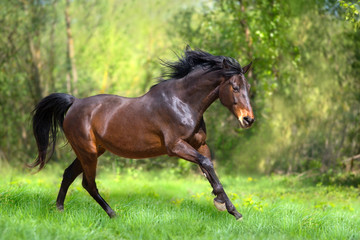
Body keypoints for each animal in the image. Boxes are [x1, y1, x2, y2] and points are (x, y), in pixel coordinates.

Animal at [29, 47, 255, 220]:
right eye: (234, 87)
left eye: (248, 87)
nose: (248, 119)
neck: (183, 103)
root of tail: (74, 102)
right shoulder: (175, 146)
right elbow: (207, 165)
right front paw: (229, 208)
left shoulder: (200, 145)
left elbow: (209, 170)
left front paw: (226, 206)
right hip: (88, 152)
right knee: (88, 183)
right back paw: (113, 214)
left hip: (92, 151)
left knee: (68, 174)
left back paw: (60, 209)